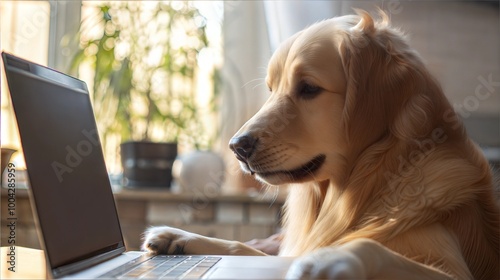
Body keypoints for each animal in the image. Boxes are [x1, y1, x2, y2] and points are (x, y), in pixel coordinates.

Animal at [143, 9, 498, 278]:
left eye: (309, 88)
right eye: (271, 89)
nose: (236, 147)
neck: (373, 177)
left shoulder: (454, 271)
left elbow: (368, 244)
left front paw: (328, 258)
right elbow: (243, 247)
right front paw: (180, 236)